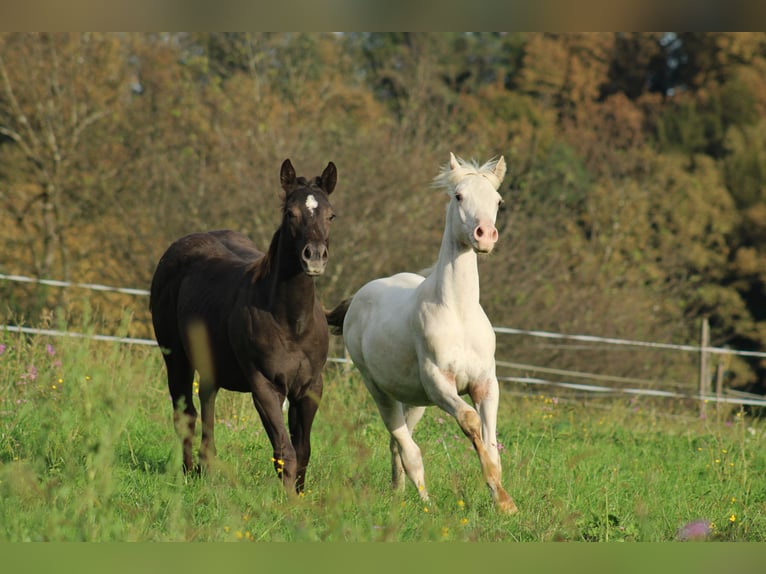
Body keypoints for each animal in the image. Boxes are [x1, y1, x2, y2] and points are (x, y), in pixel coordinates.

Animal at [152, 159, 338, 496]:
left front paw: (300, 496)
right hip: (176, 358)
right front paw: (288, 501)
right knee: (185, 414)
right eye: (290, 213)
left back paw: (206, 469)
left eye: (331, 215)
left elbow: (303, 449)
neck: (292, 324)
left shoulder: (310, 388)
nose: (315, 257)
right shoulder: (265, 387)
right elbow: (285, 450)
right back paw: (188, 473)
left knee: (207, 403)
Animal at [328, 152, 520, 512]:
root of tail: (358, 297)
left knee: (398, 442)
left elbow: (491, 443)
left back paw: (397, 492)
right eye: (458, 196)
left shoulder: (486, 383)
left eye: (498, 200)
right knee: (406, 446)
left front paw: (503, 502)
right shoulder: (438, 382)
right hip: (379, 389)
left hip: (414, 399)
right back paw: (423, 503)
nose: (485, 236)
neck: (458, 314)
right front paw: (502, 498)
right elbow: (470, 421)